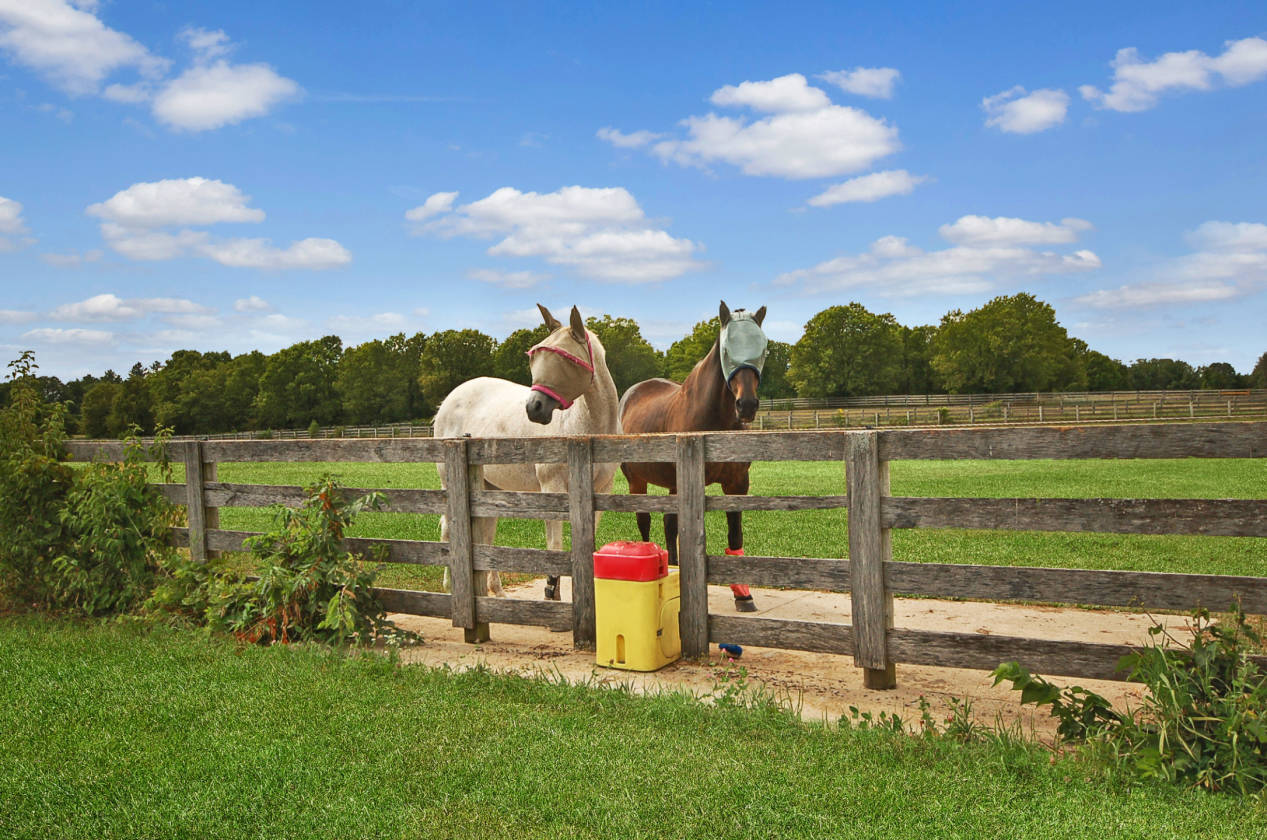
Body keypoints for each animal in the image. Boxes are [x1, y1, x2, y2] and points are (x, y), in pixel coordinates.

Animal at [434, 304, 619, 612]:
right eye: (535, 356)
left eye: (564, 358)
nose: (534, 408)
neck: (586, 428)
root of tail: (449, 399)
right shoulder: (552, 489)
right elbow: (555, 546)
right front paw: (552, 594)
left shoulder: (602, 490)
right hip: (450, 481)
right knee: (450, 527)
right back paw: (451, 588)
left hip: (488, 487)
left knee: (486, 537)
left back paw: (494, 593)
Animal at [618, 301, 769, 613]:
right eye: (726, 350)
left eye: (763, 350)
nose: (747, 405)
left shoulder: (737, 483)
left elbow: (734, 533)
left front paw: (743, 595)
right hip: (636, 481)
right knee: (644, 521)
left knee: (668, 522)